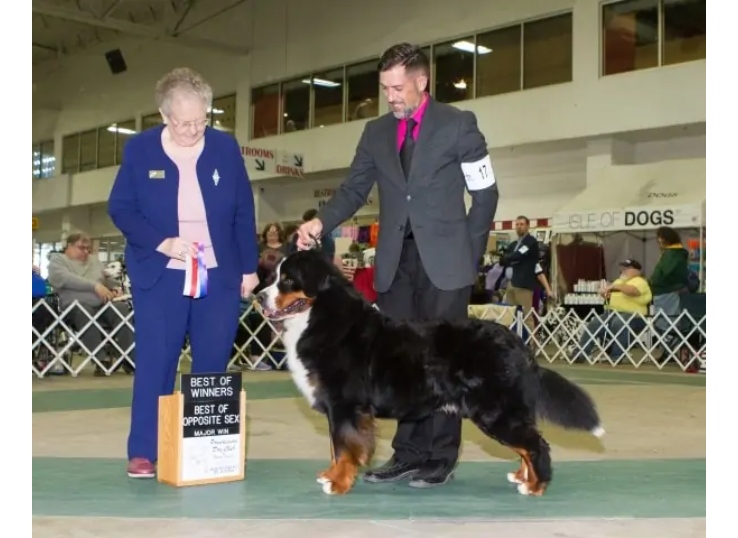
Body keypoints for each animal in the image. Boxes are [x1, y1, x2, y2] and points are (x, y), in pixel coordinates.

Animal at [256, 249, 600, 496]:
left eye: (287, 280)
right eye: (272, 276)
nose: (258, 296)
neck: (323, 316)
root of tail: (518, 342)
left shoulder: (345, 404)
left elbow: (344, 446)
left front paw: (338, 483)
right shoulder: (336, 407)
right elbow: (335, 445)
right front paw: (330, 475)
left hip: (495, 411)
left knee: (536, 445)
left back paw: (536, 485)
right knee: (527, 445)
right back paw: (522, 476)